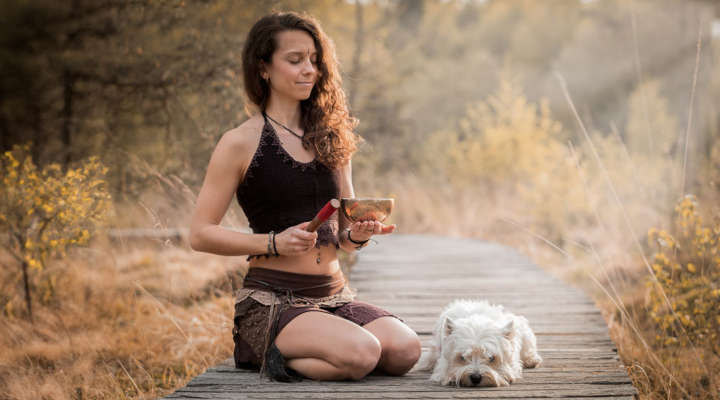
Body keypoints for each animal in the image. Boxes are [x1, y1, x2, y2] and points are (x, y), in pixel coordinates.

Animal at [414, 298, 544, 386]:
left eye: (491, 358)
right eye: (462, 357)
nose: (476, 378)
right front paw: (451, 377)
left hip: (524, 332)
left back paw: (532, 360)